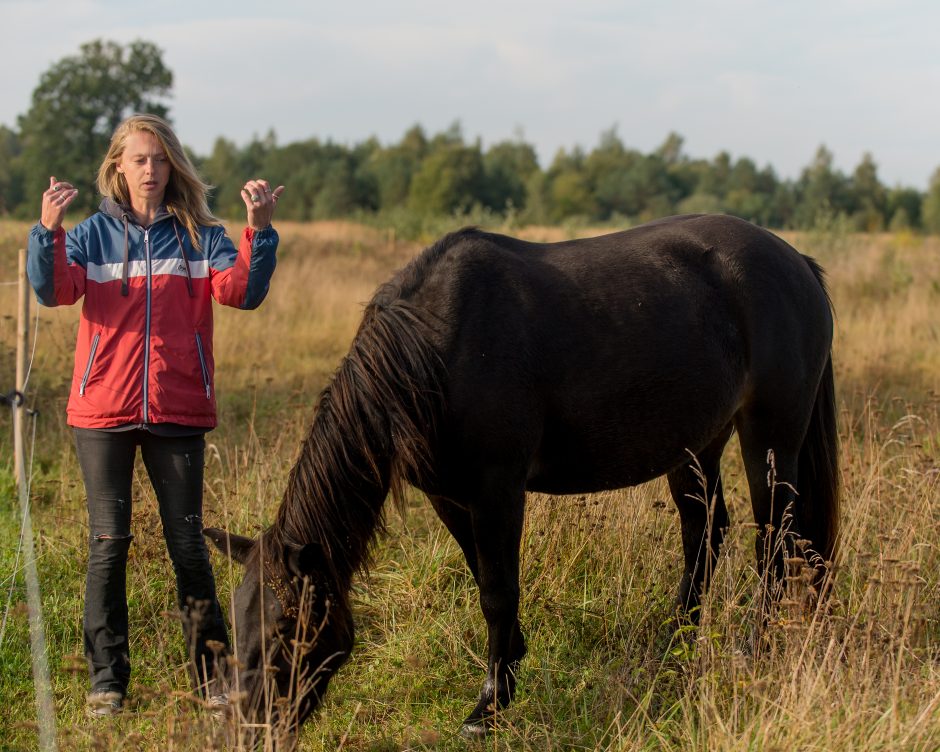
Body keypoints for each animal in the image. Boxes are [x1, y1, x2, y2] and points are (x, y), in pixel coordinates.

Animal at [206, 213, 836, 740]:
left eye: (288, 625)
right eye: (238, 619)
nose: (247, 726)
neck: (435, 351)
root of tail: (797, 262)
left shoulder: (497, 492)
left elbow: (496, 591)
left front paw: (488, 709)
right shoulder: (449, 497)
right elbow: (482, 577)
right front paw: (507, 668)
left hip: (770, 436)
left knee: (774, 540)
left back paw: (755, 650)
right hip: (696, 444)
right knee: (705, 534)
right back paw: (672, 648)